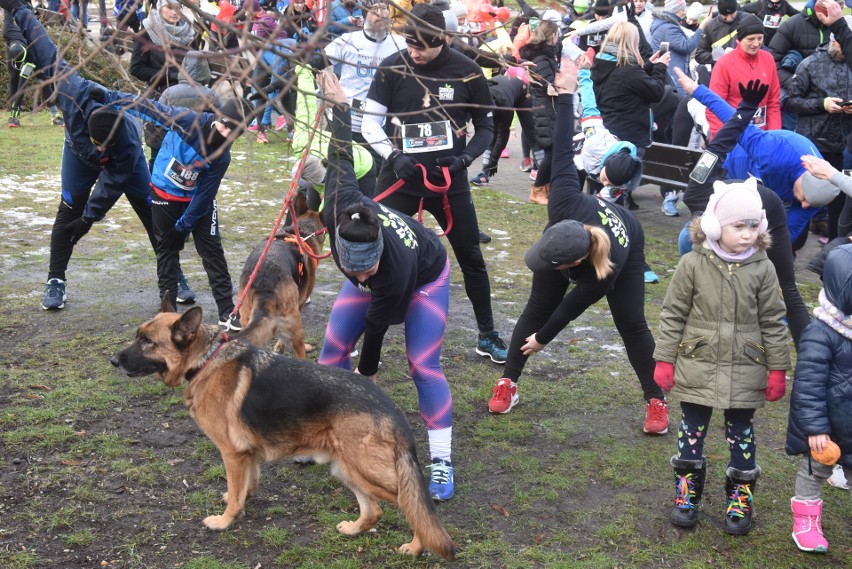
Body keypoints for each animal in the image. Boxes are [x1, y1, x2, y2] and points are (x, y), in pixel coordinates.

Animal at [110, 302, 456, 560]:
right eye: (138, 336)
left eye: (147, 342)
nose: (113, 360)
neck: (205, 359)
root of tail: (389, 408)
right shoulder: (246, 454)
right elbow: (245, 485)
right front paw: (239, 499)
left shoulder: (232, 453)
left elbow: (235, 492)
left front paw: (224, 521)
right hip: (345, 468)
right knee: (376, 511)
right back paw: (354, 529)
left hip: (364, 470)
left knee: (411, 506)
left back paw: (416, 547)